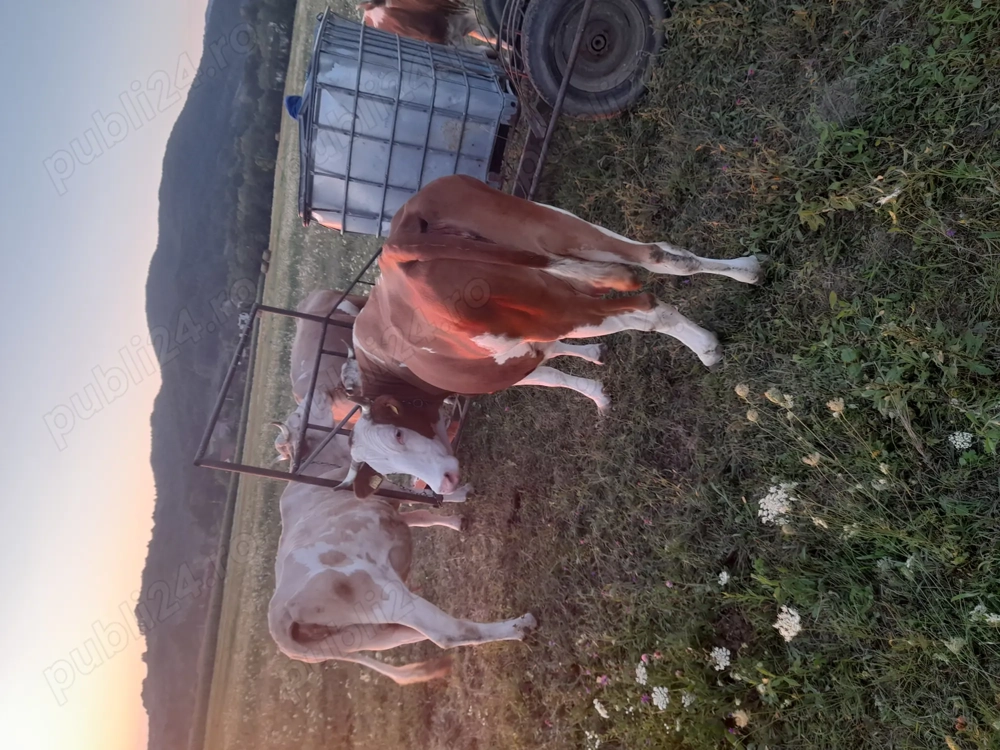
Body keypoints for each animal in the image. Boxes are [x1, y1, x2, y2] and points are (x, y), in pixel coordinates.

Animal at [267, 460, 537, 684]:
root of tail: (279, 619)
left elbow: (420, 515)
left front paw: (455, 520)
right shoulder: (383, 488)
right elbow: (416, 497)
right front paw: (459, 494)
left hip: (369, 634)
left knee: (418, 633)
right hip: (383, 593)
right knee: (447, 632)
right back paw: (519, 626)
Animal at [328, 174, 767, 498]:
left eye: (399, 435)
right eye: (384, 471)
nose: (446, 485)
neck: (384, 366)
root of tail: (394, 249)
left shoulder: (512, 361)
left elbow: (553, 375)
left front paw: (596, 390)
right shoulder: (527, 346)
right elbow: (556, 360)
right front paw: (595, 364)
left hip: (550, 301)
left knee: (648, 307)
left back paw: (707, 347)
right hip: (553, 230)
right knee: (658, 255)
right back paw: (748, 268)